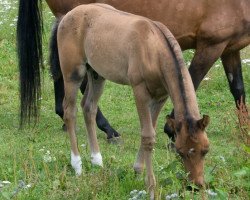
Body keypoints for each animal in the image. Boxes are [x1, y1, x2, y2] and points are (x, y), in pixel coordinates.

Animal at [16, 0, 249, 139]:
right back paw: (107, 129)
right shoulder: (210, 46)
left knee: (61, 72)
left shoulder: (229, 48)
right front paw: (172, 131)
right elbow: (190, 82)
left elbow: (237, 88)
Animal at [57, 3, 210, 198]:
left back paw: (97, 161)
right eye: (180, 152)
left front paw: (137, 170)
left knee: (89, 107)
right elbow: (148, 136)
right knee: (70, 111)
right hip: (73, 73)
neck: (154, 47)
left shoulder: (161, 96)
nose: (195, 186)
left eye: (205, 150)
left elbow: (150, 130)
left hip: (97, 74)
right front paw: (150, 188)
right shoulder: (140, 91)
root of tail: (69, 14)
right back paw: (77, 165)